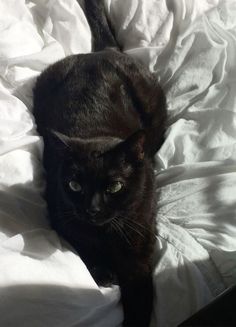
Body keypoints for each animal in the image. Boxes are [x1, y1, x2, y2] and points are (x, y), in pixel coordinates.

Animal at [33, 1, 167, 326]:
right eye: (74, 184)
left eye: (115, 186)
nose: (92, 209)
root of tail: (100, 52)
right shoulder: (60, 214)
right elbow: (81, 243)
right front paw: (103, 272)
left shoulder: (138, 249)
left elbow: (139, 299)